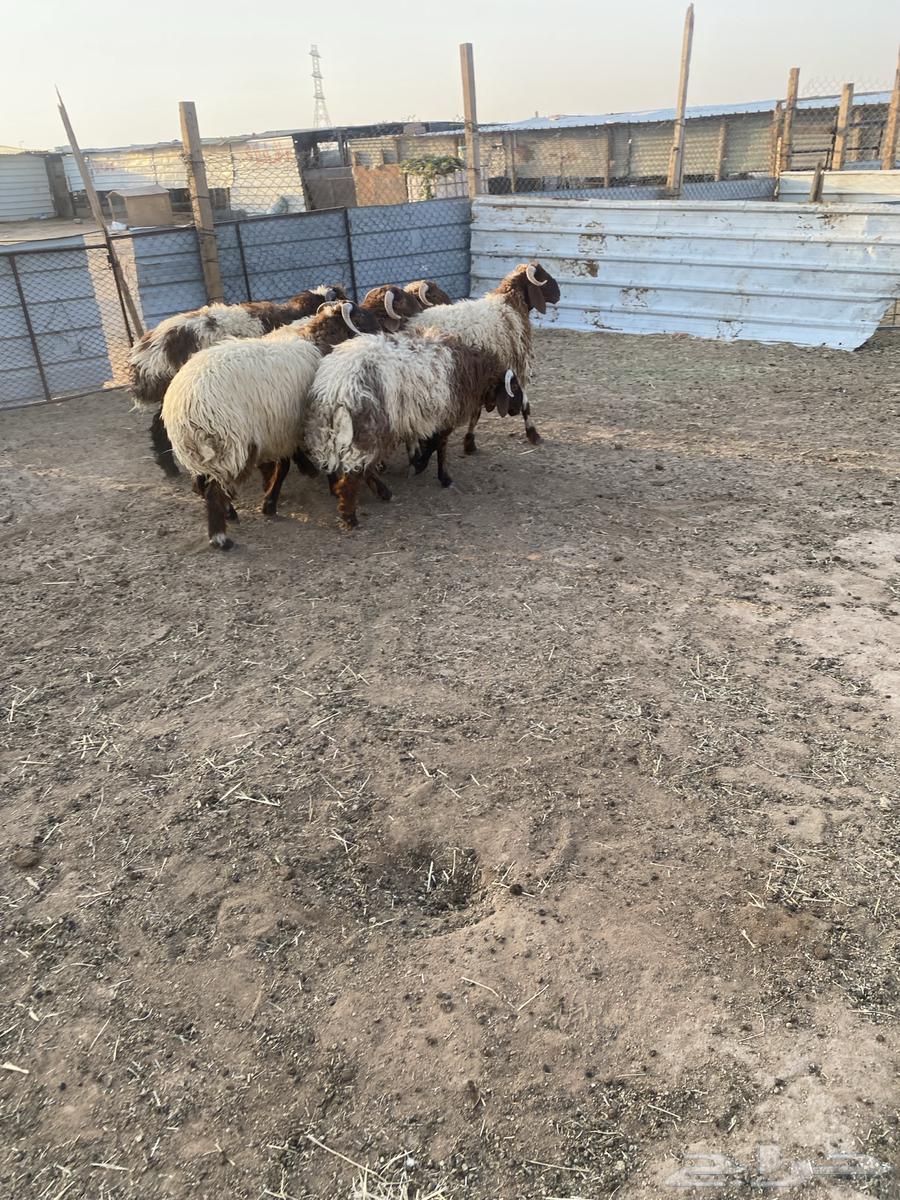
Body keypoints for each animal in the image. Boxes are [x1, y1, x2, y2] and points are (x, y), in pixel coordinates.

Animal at [161, 301, 383, 550]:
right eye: (361, 318)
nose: (381, 335)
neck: (316, 340)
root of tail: (183, 406)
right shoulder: (286, 429)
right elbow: (286, 467)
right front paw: (272, 501)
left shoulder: (281, 430)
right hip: (229, 445)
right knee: (213, 491)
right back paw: (220, 537)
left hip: (201, 452)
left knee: (200, 484)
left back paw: (228, 513)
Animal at [303, 328, 526, 529]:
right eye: (514, 387)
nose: (520, 407)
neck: (473, 369)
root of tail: (337, 386)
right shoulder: (444, 416)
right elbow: (438, 445)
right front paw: (437, 474)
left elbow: (433, 444)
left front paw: (421, 465)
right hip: (368, 430)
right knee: (354, 472)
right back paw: (350, 517)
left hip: (329, 430)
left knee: (351, 467)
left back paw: (377, 492)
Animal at [407, 262, 559, 453]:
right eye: (542, 277)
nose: (558, 294)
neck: (510, 305)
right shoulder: (514, 365)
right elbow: (524, 404)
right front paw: (533, 434)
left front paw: (469, 442)